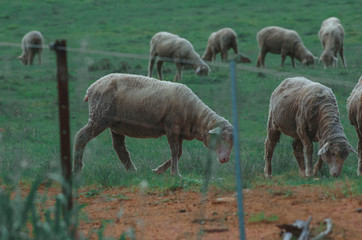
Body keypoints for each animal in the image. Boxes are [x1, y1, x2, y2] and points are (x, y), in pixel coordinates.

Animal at [74, 72, 233, 176]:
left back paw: (132, 170)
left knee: (119, 147)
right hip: (100, 116)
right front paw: (175, 174)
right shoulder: (171, 128)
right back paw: (77, 168)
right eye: (222, 138)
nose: (226, 159)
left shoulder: (179, 133)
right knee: (81, 136)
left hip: (116, 124)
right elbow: (175, 151)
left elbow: (179, 153)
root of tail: (91, 88)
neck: (195, 116)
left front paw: (159, 170)